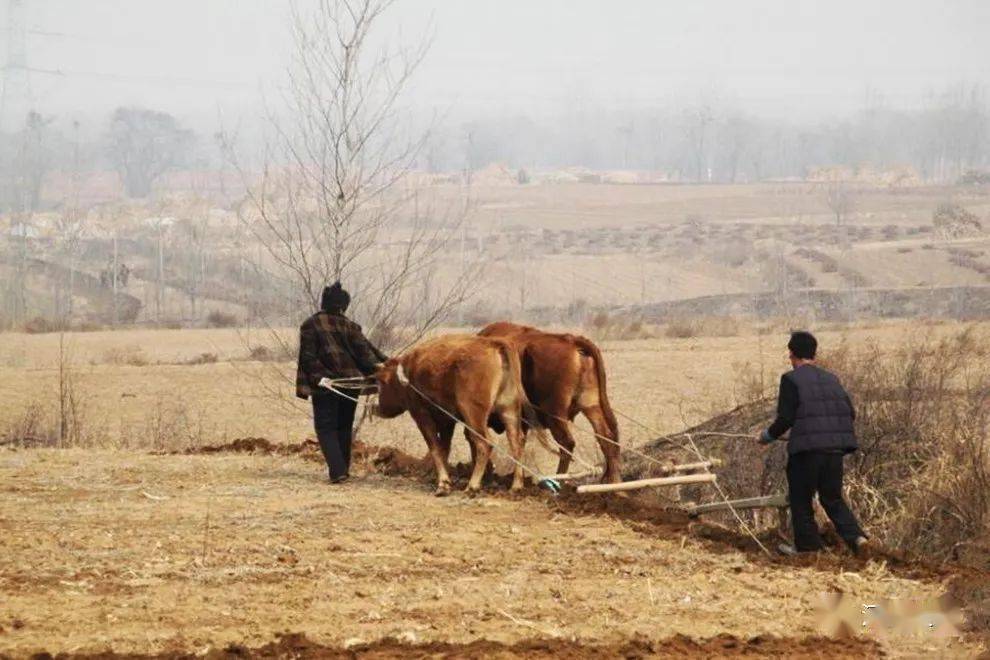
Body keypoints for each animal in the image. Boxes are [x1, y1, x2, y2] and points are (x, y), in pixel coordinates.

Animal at [372, 336, 532, 496]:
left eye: (382, 381)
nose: (379, 408)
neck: (410, 370)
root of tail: (494, 344)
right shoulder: (447, 421)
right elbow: (445, 449)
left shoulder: (422, 416)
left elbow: (435, 448)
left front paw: (443, 484)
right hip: (509, 413)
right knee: (516, 442)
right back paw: (516, 486)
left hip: (473, 415)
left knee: (484, 444)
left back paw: (472, 485)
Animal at [480, 322, 620, 482]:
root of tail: (572, 341)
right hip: (590, 406)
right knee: (606, 438)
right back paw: (615, 483)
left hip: (555, 415)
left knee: (567, 443)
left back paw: (559, 478)